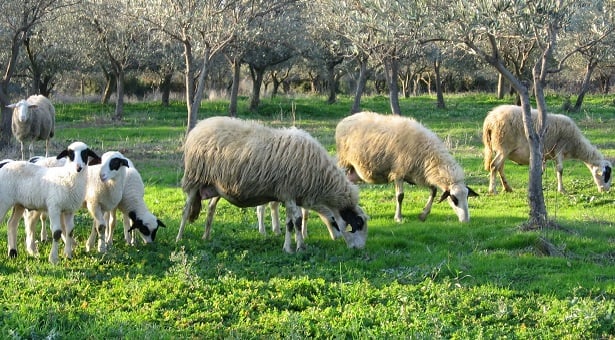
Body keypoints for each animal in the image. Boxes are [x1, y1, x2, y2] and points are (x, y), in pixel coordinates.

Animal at [176, 117, 368, 252]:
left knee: (210, 209)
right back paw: (179, 238)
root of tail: (199, 126)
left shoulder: (289, 196)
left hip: (216, 186)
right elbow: (297, 221)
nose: (359, 249)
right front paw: (300, 247)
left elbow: (290, 222)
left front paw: (288, 247)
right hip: (195, 178)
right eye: (358, 224)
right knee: (186, 211)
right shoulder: (289, 192)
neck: (321, 178)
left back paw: (206, 237)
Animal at [334, 111, 478, 223]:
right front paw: (398, 218)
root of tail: (345, 120)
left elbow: (433, 191)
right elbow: (400, 196)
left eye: (467, 197)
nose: (466, 221)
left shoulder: (418, 175)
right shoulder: (398, 173)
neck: (429, 155)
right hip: (344, 162)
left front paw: (423, 215)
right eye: (454, 199)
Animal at [484, 103, 612, 194]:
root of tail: (490, 120)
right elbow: (560, 170)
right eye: (606, 175)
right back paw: (492, 190)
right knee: (494, 166)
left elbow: (541, 171)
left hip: (502, 149)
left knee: (500, 168)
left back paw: (507, 188)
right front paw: (562, 190)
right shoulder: (559, 149)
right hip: (504, 147)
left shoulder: (544, 155)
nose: (606, 190)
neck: (576, 145)